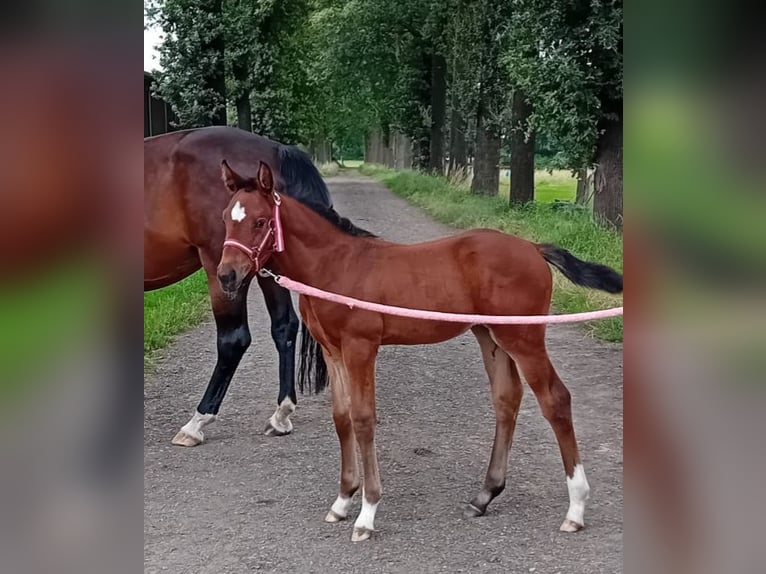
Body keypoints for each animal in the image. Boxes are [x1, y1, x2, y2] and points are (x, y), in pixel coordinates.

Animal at [145, 128, 368, 448]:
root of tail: (276, 150)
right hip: (263, 264)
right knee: (284, 326)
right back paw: (281, 414)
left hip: (224, 271)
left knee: (233, 339)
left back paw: (197, 422)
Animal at [219, 160, 628, 544]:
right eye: (225, 218)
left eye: (259, 222)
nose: (226, 275)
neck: (336, 266)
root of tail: (534, 248)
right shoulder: (332, 351)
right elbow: (342, 417)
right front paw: (342, 501)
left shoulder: (360, 348)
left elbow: (364, 419)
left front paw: (367, 514)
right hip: (490, 336)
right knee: (506, 399)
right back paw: (484, 496)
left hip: (523, 338)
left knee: (555, 399)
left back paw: (575, 509)